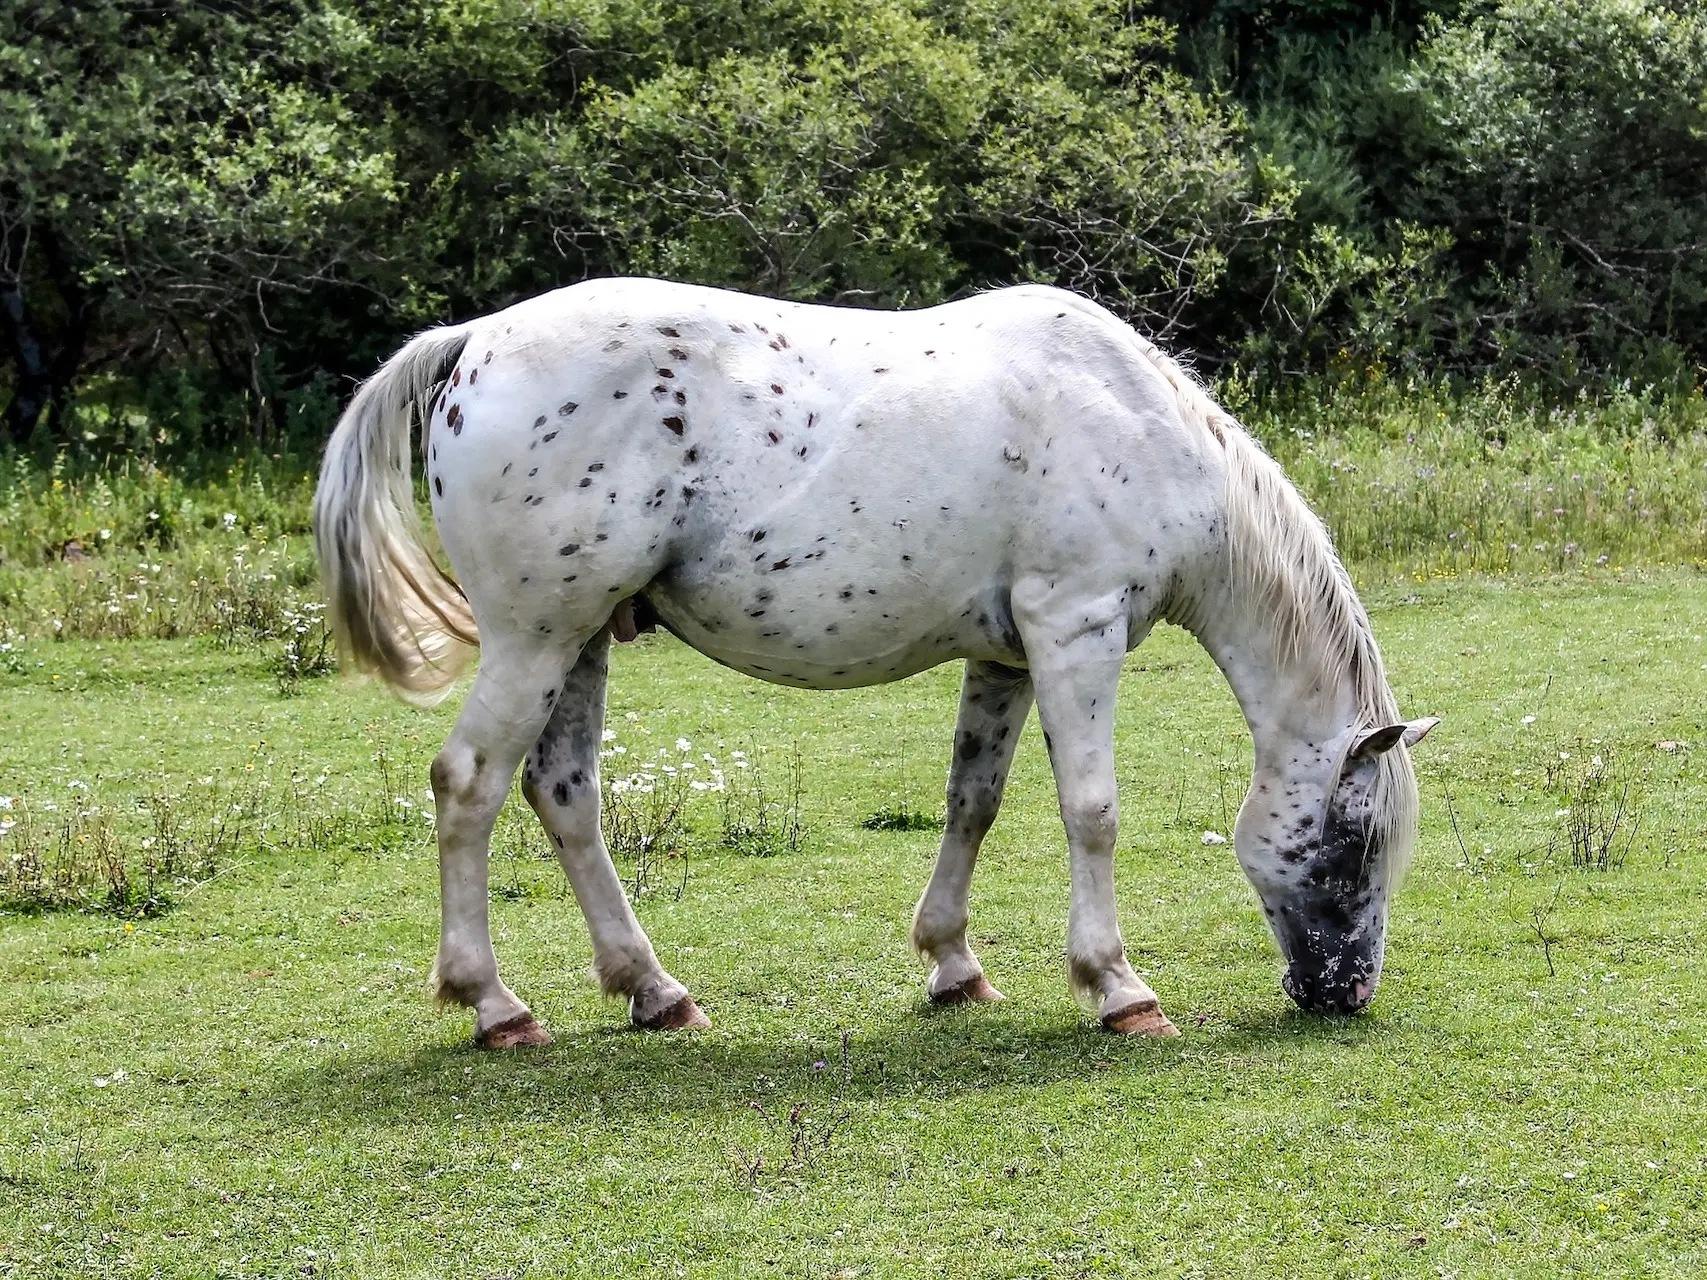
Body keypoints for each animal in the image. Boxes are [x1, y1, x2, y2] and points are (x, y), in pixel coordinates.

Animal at [314, 278, 1433, 1051]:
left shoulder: (1008, 655)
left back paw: (654, 991)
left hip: (580, 641)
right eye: (1351, 843)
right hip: (533, 640)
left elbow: (973, 802)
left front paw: (953, 964)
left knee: (564, 795)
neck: (1134, 420)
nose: (1346, 993)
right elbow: (1091, 811)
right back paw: (494, 1004)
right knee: (468, 785)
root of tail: (473, 342)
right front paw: (1119, 988)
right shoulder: (1077, 629)